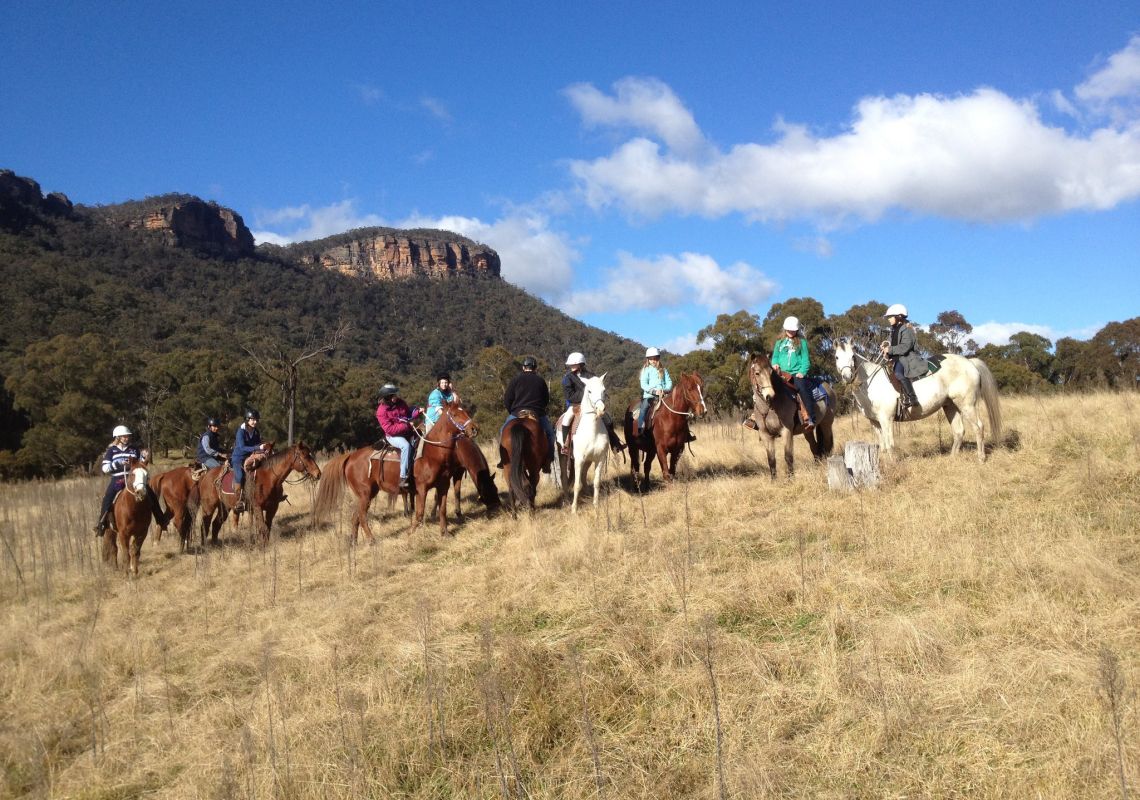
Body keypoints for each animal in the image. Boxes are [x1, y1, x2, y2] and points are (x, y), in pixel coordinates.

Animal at [563, 376, 611, 515]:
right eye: (589, 391)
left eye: (604, 390)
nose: (601, 409)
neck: (593, 431)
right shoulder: (579, 460)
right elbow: (576, 485)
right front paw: (574, 509)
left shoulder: (599, 459)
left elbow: (596, 482)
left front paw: (596, 505)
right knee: (565, 478)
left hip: (588, 461)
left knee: (584, 476)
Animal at [747, 348, 839, 476]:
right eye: (757, 373)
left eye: (770, 373)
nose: (770, 395)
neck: (770, 408)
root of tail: (827, 386)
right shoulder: (765, 435)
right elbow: (771, 460)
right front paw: (774, 479)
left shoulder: (786, 431)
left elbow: (788, 457)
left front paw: (791, 478)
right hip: (807, 430)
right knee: (815, 448)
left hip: (826, 424)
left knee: (827, 445)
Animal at [834, 337, 1003, 464]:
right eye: (836, 357)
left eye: (852, 356)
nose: (847, 377)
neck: (872, 382)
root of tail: (970, 363)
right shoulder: (875, 422)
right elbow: (881, 446)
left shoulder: (886, 419)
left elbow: (890, 445)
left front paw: (893, 465)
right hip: (950, 406)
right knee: (959, 431)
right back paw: (952, 458)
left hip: (967, 405)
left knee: (978, 427)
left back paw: (980, 458)